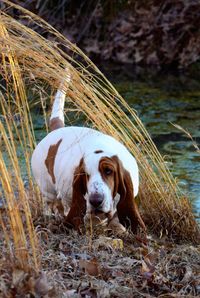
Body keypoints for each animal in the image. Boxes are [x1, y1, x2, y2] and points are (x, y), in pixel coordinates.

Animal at [31, 73, 146, 234]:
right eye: (85, 175)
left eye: (108, 171)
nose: (95, 201)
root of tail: (57, 129)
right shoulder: (69, 198)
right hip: (47, 188)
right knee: (49, 204)